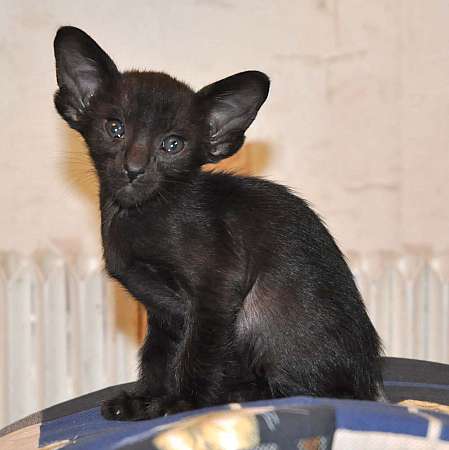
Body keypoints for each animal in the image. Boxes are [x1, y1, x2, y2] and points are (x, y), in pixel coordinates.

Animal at [52, 26, 382, 420]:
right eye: (114, 128)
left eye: (172, 144)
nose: (133, 169)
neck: (136, 215)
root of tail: (369, 383)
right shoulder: (162, 312)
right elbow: (158, 356)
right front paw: (145, 398)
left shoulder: (216, 291)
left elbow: (198, 353)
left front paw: (182, 402)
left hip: (263, 311)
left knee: (311, 390)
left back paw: (239, 393)